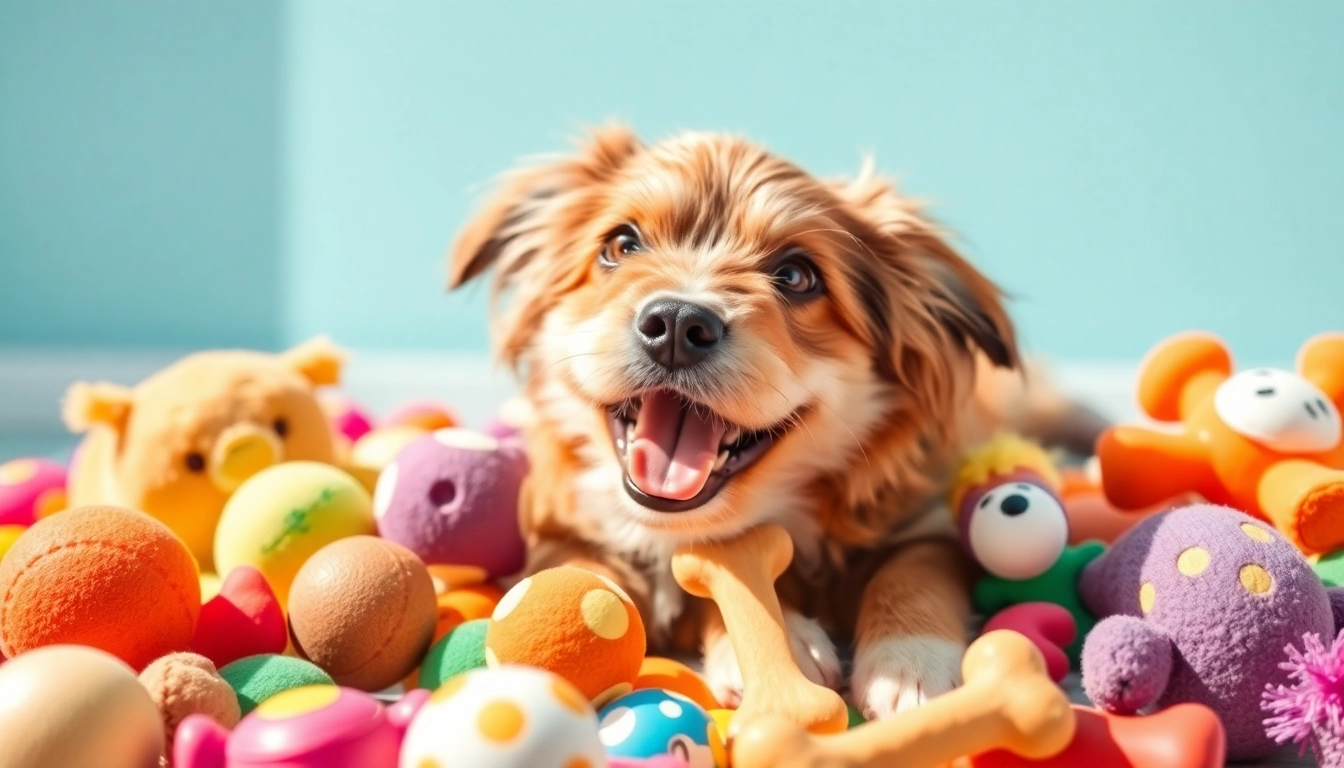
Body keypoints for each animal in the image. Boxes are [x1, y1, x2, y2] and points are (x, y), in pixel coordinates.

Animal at [451, 123, 1102, 720]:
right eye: (621, 244)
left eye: (795, 276)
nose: (677, 323)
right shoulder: (557, 531)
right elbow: (588, 570)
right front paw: (778, 638)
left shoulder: (926, 516)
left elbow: (914, 569)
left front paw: (908, 664)